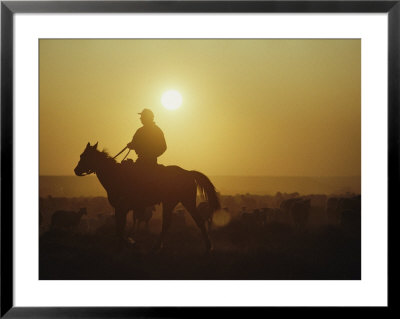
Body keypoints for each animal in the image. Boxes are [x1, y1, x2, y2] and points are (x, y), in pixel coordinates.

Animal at [73, 142, 220, 252]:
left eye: (84, 156)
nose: (76, 170)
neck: (115, 175)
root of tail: (189, 173)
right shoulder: (121, 209)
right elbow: (119, 228)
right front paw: (126, 244)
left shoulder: (122, 207)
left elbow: (120, 229)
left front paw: (128, 244)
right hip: (174, 202)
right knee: (174, 223)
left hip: (184, 202)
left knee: (194, 221)